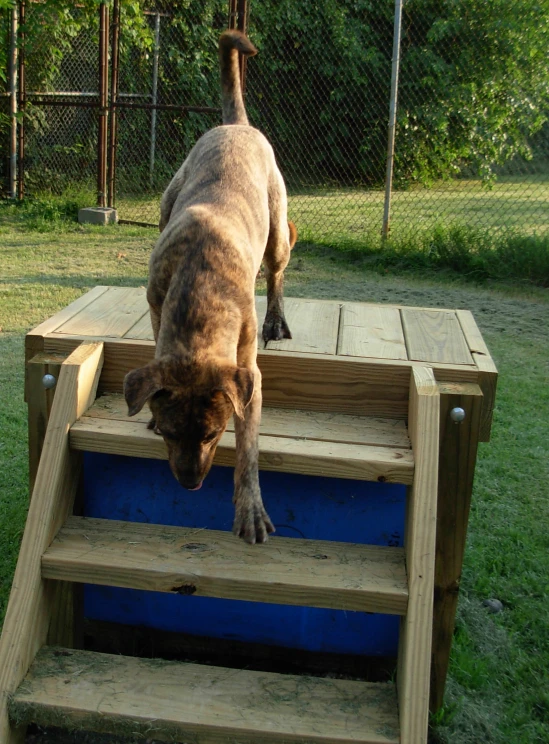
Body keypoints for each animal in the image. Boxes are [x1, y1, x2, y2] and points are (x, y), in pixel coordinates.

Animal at [124, 29, 296, 544]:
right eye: (167, 432)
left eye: (212, 435)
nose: (190, 483)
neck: (198, 292)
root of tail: (236, 125)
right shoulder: (157, 303)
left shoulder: (248, 376)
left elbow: (250, 449)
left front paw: (250, 507)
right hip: (168, 199)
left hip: (278, 230)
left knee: (277, 273)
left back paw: (278, 320)